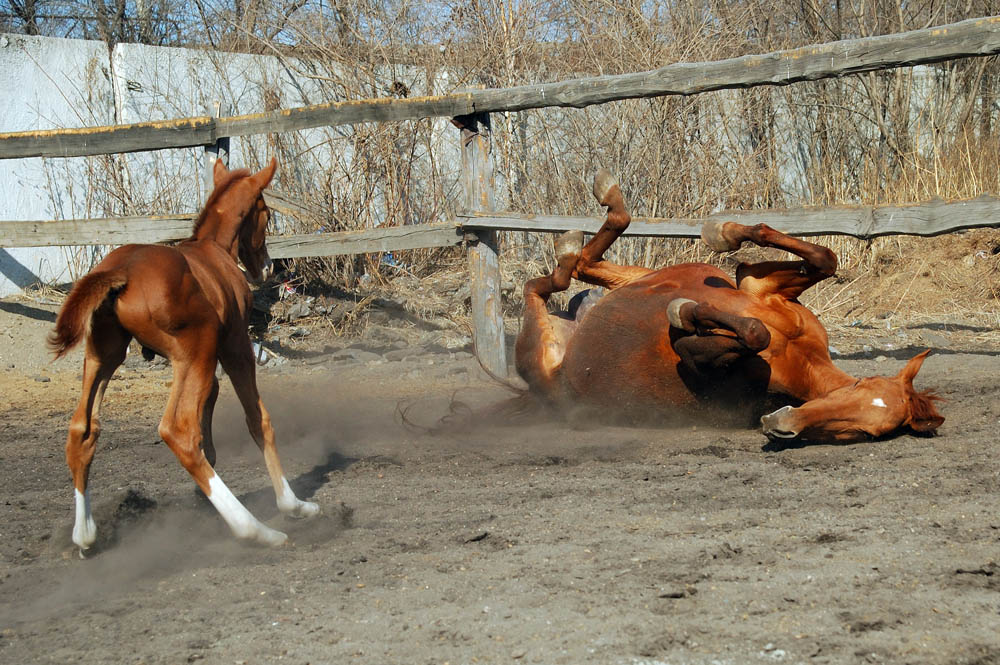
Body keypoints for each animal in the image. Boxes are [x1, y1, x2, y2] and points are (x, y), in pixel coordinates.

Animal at [48, 157, 318, 548]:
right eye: (266, 213)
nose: (267, 267)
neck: (213, 250)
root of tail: (122, 271)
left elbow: (212, 408)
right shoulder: (235, 345)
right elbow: (257, 419)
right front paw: (293, 503)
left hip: (105, 355)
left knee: (82, 429)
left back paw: (85, 535)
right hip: (195, 352)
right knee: (178, 431)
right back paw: (255, 529)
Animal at [516, 169, 944, 444]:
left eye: (861, 432)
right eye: (860, 387)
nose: (783, 423)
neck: (799, 359)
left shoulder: (701, 358)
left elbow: (751, 331)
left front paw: (684, 311)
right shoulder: (759, 287)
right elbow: (823, 258)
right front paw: (725, 233)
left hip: (548, 343)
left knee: (555, 279)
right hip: (629, 283)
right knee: (568, 271)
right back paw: (590, 218)